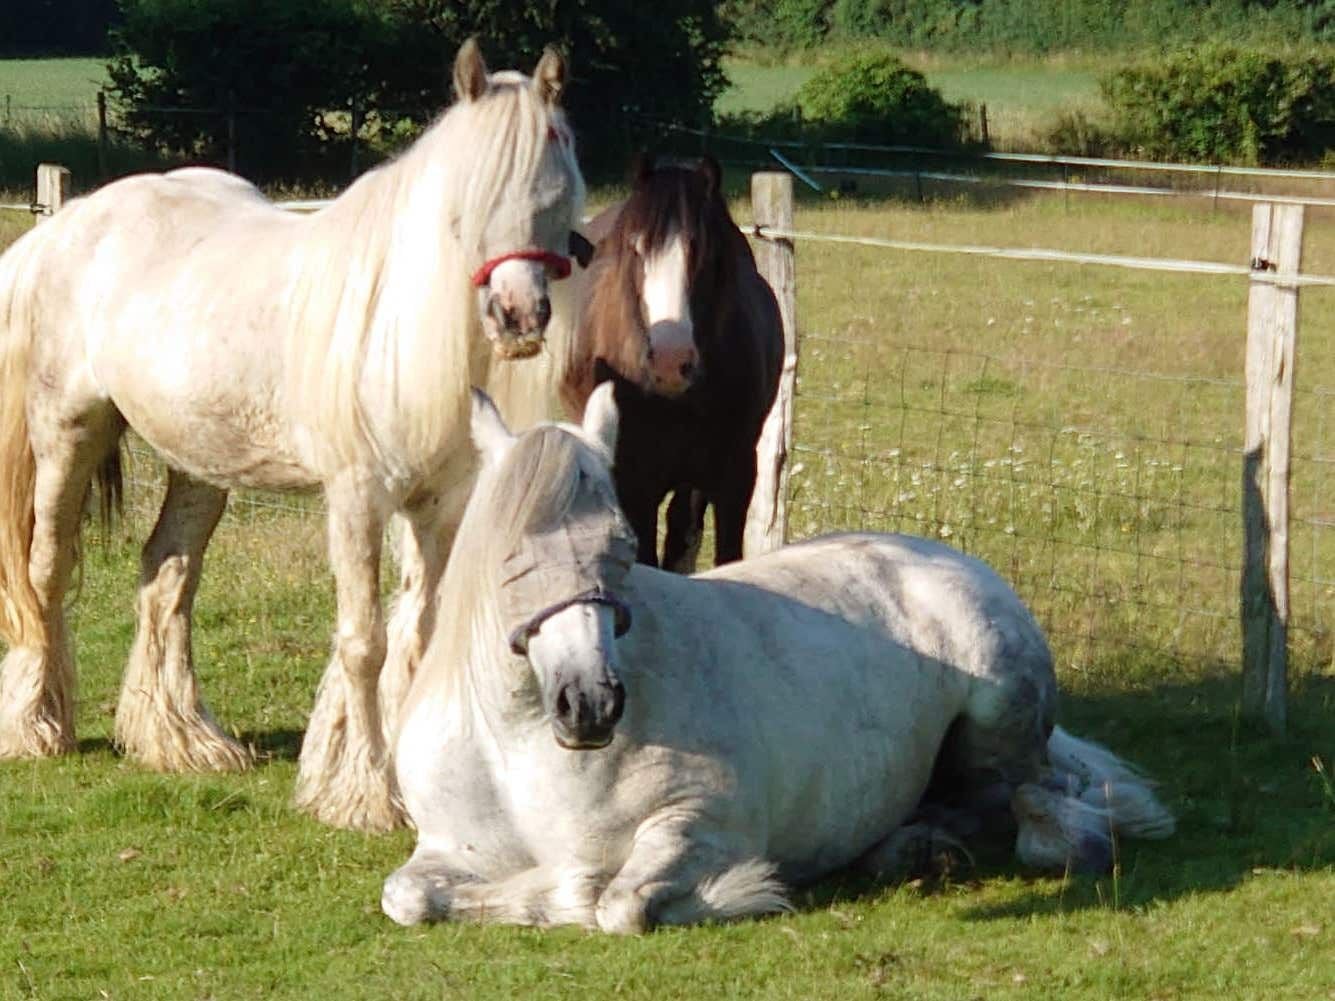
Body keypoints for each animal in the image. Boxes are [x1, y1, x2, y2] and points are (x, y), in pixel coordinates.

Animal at [381, 387, 1174, 939]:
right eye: (512, 558)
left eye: (624, 545)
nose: (591, 703)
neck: (517, 747)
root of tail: (953, 558)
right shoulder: (442, 846)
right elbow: (407, 896)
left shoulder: (696, 825)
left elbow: (614, 903)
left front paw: (734, 891)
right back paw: (917, 847)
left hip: (1002, 726)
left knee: (1040, 801)